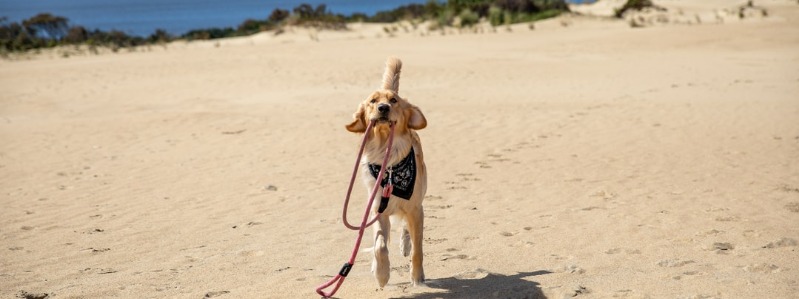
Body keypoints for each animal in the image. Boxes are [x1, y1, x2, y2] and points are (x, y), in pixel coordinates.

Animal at [346, 56, 428, 288]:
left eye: (394, 101)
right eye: (373, 101)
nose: (383, 107)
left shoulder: (415, 209)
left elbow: (417, 249)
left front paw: (417, 277)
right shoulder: (377, 210)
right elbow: (380, 246)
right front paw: (382, 274)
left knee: (407, 230)